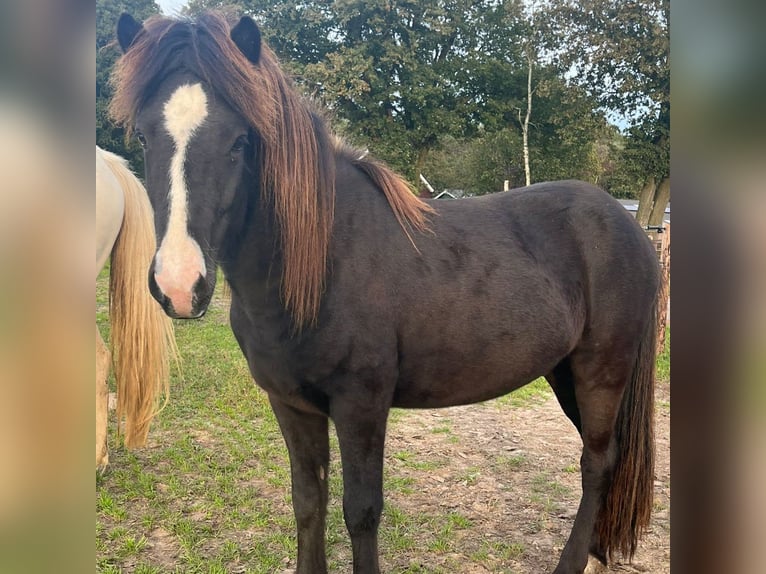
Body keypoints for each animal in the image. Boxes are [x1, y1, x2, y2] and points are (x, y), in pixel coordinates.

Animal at [112, 11, 660, 572]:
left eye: (240, 142)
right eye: (144, 139)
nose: (179, 284)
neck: (321, 266)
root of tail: (631, 227)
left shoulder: (361, 404)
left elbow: (361, 511)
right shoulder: (291, 404)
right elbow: (308, 501)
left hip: (602, 372)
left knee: (596, 462)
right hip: (563, 373)